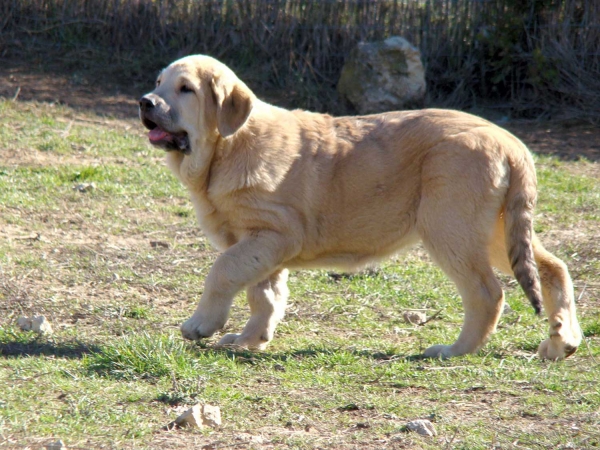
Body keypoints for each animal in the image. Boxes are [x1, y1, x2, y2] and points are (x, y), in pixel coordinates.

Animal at [139, 55, 580, 358]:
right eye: (158, 83)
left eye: (186, 89)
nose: (145, 102)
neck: (226, 148)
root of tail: (511, 143)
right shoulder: (263, 244)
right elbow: (264, 294)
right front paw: (251, 339)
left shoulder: (272, 234)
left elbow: (224, 271)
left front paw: (202, 324)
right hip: (496, 231)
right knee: (553, 267)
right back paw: (564, 340)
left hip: (449, 227)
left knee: (487, 293)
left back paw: (454, 351)